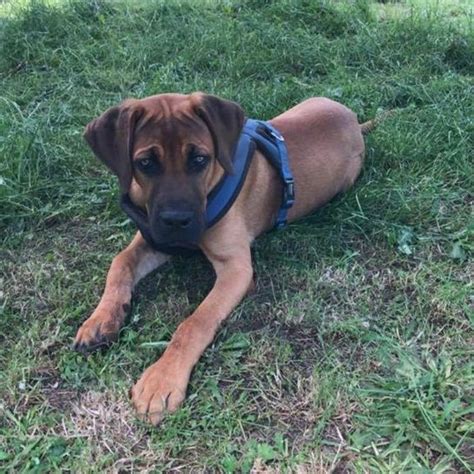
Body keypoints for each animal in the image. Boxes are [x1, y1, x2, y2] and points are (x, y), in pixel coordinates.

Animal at [73, 90, 378, 424]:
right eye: (146, 163)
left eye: (199, 159)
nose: (177, 221)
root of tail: (353, 120)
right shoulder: (154, 236)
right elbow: (120, 263)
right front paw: (100, 320)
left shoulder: (236, 268)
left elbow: (195, 322)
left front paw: (162, 380)